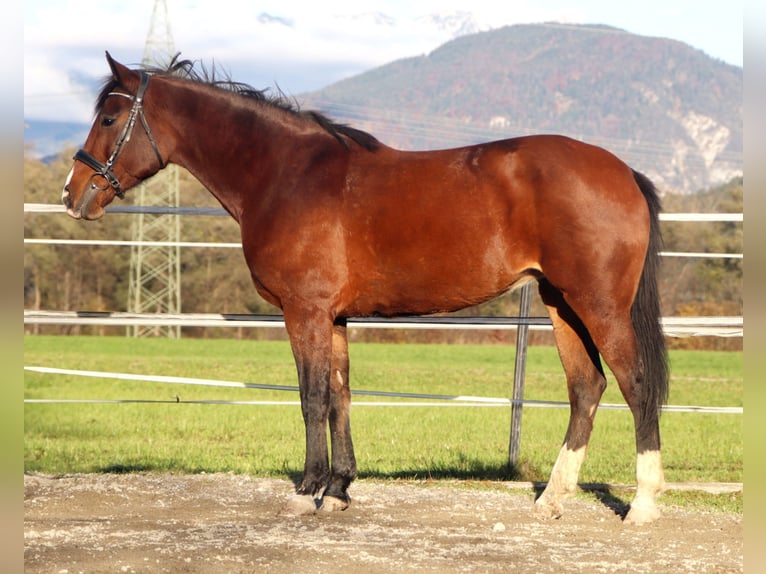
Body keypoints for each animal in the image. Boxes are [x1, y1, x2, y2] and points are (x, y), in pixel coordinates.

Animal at [62, 53, 669, 525]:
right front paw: (338, 491)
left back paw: (642, 504)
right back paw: (552, 499)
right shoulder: (334, 317)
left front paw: (306, 492)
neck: (286, 174)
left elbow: (311, 398)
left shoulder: (305, 311)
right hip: (560, 303)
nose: (74, 194)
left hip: (597, 306)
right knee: (587, 387)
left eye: (110, 117)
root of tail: (623, 172)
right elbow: (340, 397)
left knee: (636, 384)